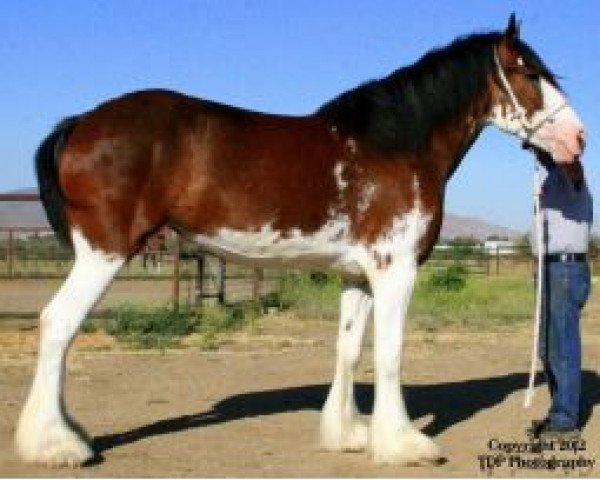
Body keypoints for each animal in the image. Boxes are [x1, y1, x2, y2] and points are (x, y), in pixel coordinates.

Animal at [17, 16, 580, 466]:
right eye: (531, 73)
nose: (578, 138)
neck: (395, 145)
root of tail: (81, 124)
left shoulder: (358, 275)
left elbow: (349, 349)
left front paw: (349, 434)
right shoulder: (395, 269)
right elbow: (391, 353)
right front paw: (403, 445)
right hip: (104, 252)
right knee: (58, 324)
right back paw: (57, 446)